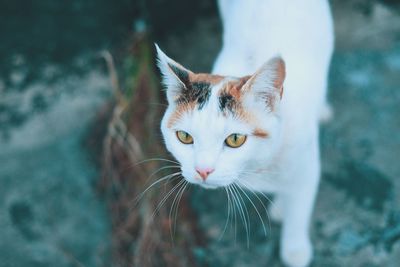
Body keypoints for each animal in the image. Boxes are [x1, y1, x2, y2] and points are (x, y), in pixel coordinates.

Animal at [156, 1, 334, 266]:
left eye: (235, 139)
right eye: (185, 137)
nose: (202, 171)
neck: (256, 166)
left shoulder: (307, 167)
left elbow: (299, 208)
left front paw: (294, 247)